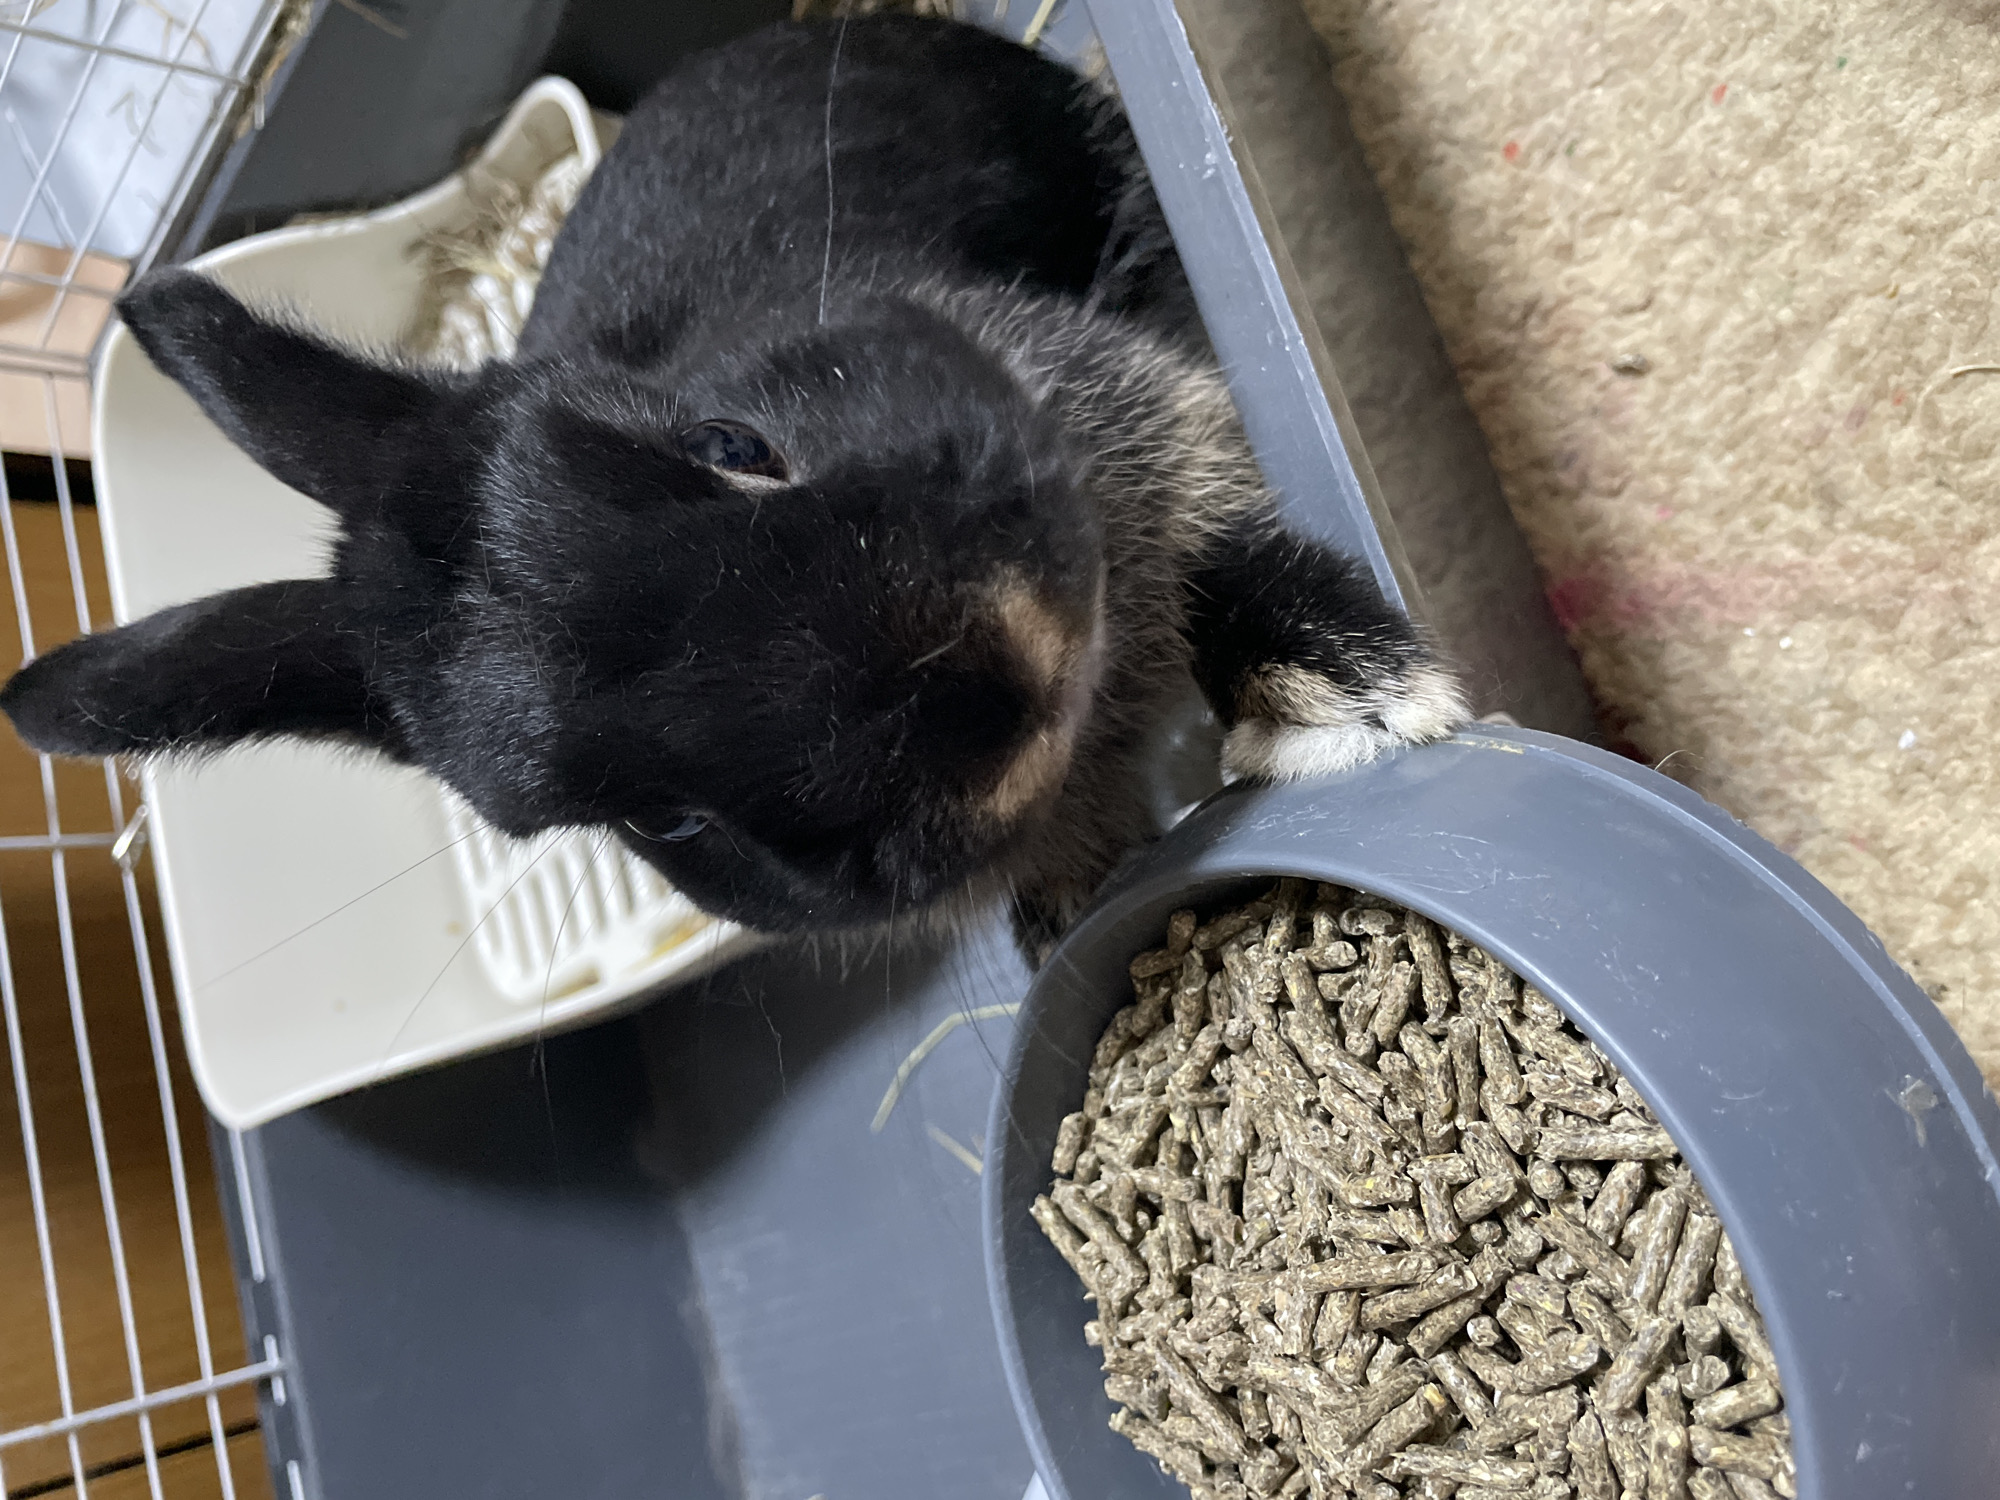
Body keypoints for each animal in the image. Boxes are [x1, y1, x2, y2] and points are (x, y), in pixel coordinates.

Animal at [0, 16, 1465, 960]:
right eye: (659, 818)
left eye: (732, 447)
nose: (995, 696)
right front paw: (1071, 912)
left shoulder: (1151, 423)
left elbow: (1219, 545)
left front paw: (1362, 703)